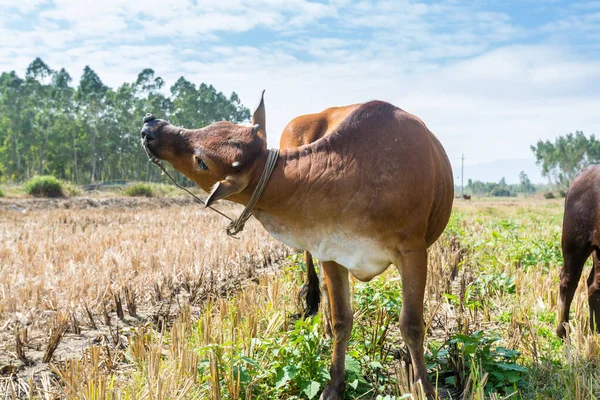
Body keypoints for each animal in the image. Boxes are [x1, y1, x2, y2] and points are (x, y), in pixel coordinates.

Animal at [141, 95, 452, 398]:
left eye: (201, 161)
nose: (151, 124)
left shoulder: (413, 251)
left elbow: (411, 324)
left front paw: (424, 386)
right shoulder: (331, 250)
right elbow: (342, 320)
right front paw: (334, 385)